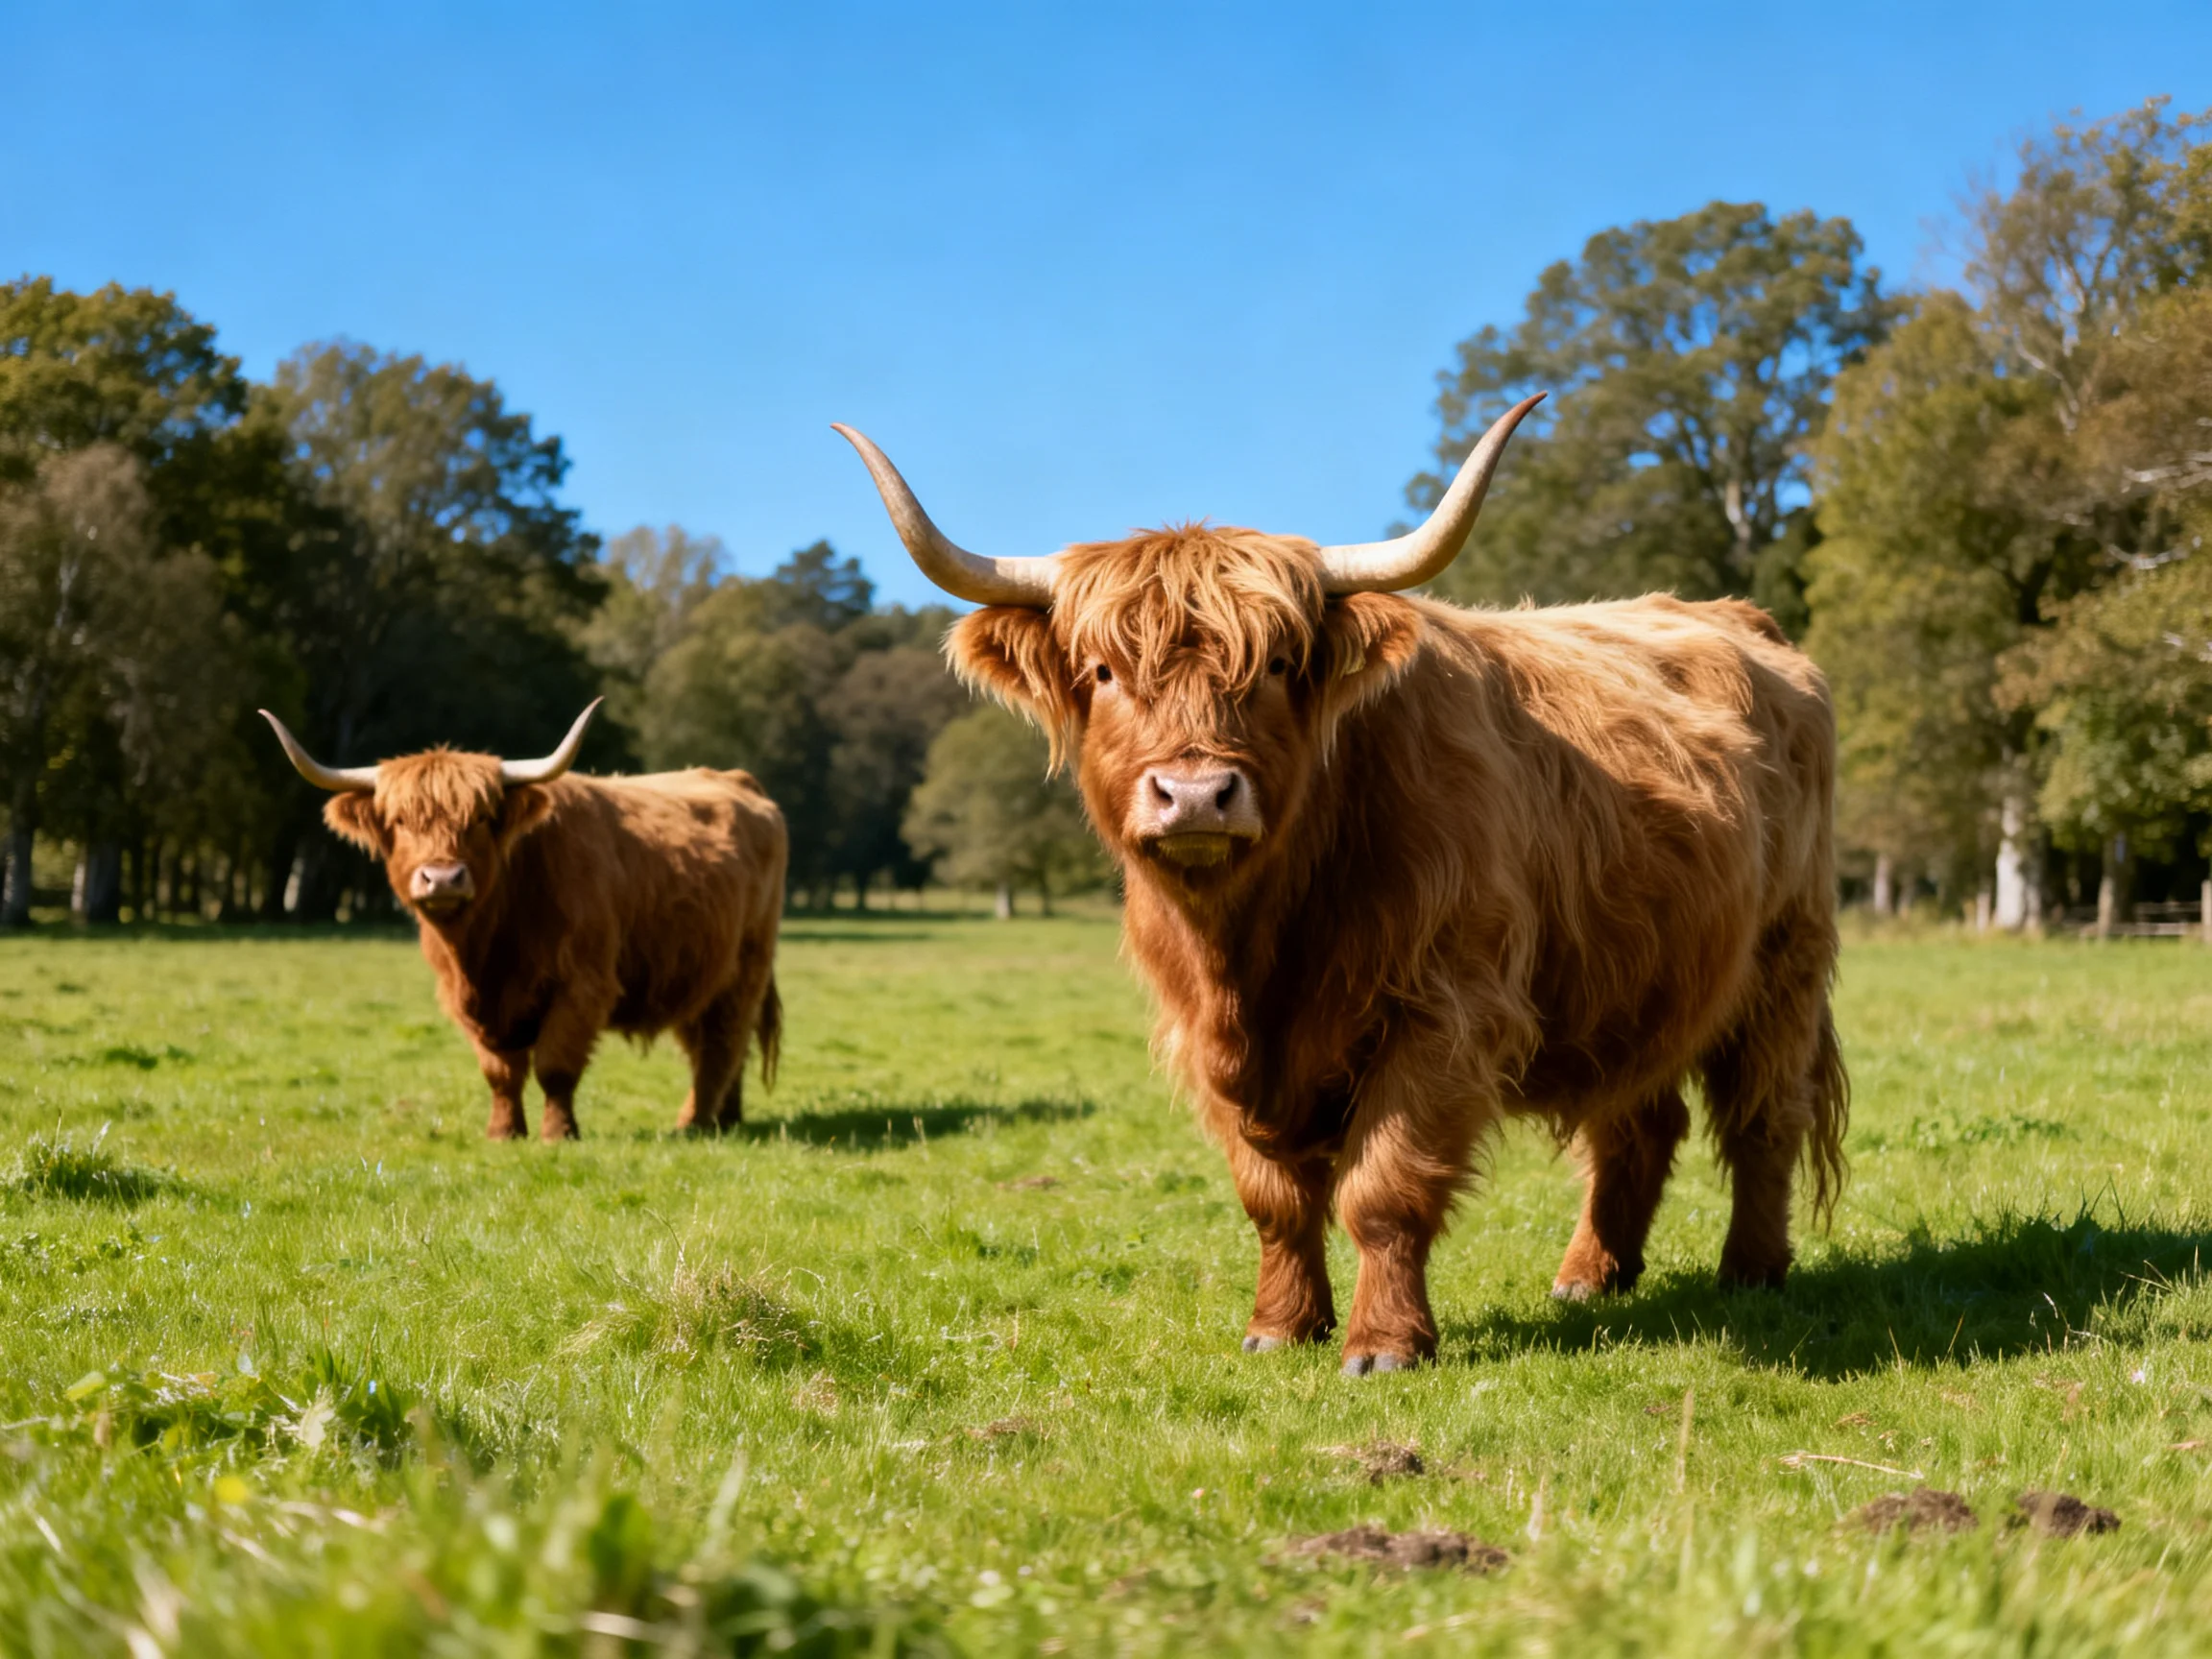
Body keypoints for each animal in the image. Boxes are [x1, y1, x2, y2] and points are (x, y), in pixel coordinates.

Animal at [262, 702, 786, 1143]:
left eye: (480, 818)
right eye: (400, 821)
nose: (443, 878)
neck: (489, 946)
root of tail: (738, 780)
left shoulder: (582, 986)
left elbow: (555, 1066)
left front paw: (558, 1134)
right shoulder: (471, 1001)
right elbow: (501, 1072)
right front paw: (504, 1133)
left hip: (745, 968)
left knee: (721, 1044)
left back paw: (694, 1123)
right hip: (697, 971)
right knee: (716, 1045)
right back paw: (725, 1118)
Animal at [834, 398, 1846, 1374]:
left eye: (1278, 667)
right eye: (1104, 671)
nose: (1195, 794)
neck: (1257, 948)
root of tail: (1742, 621)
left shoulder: (1444, 1012)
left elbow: (1382, 1187)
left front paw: (1385, 1345)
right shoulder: (1215, 1042)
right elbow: (1274, 1196)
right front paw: (1281, 1328)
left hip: (1783, 963)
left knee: (1765, 1116)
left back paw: (1751, 1270)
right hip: (1640, 979)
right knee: (1639, 1119)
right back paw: (1590, 1278)